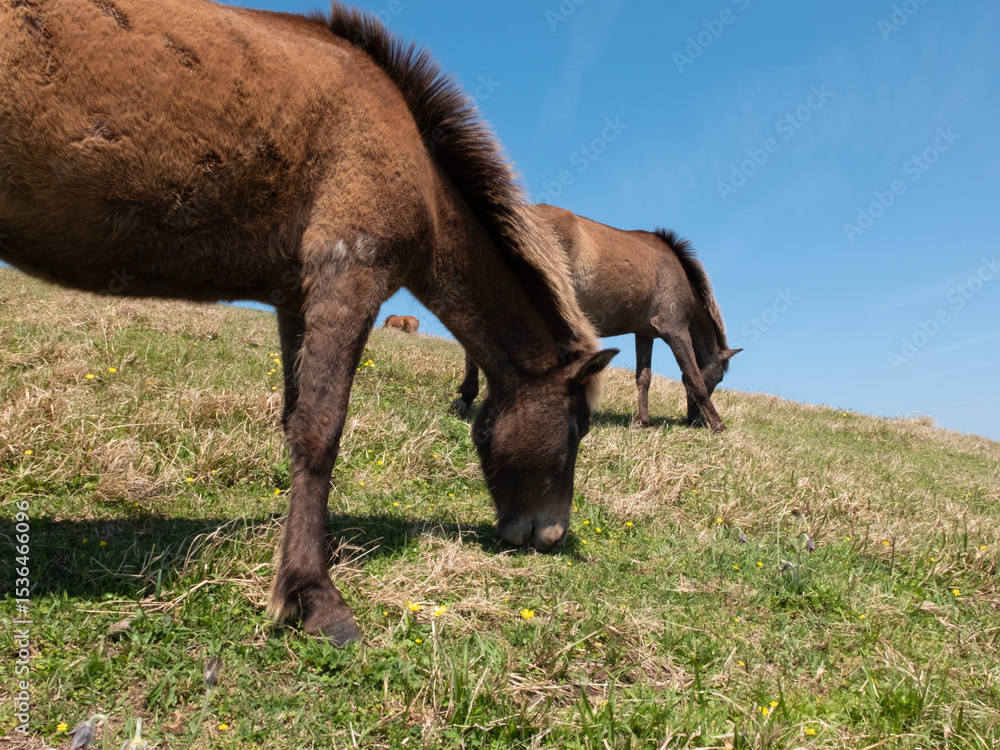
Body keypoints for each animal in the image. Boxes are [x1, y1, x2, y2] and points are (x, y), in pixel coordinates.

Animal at [0, 1, 616, 645]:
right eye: (578, 427)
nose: (550, 534)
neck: (413, 158)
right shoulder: (348, 276)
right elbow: (321, 431)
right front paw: (312, 595)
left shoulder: (295, 302)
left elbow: (294, 421)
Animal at [454, 204, 739, 432]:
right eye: (718, 378)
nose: (694, 420)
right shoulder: (675, 330)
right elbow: (692, 375)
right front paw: (718, 425)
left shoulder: (645, 333)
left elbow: (643, 377)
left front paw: (642, 421)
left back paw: (466, 398)